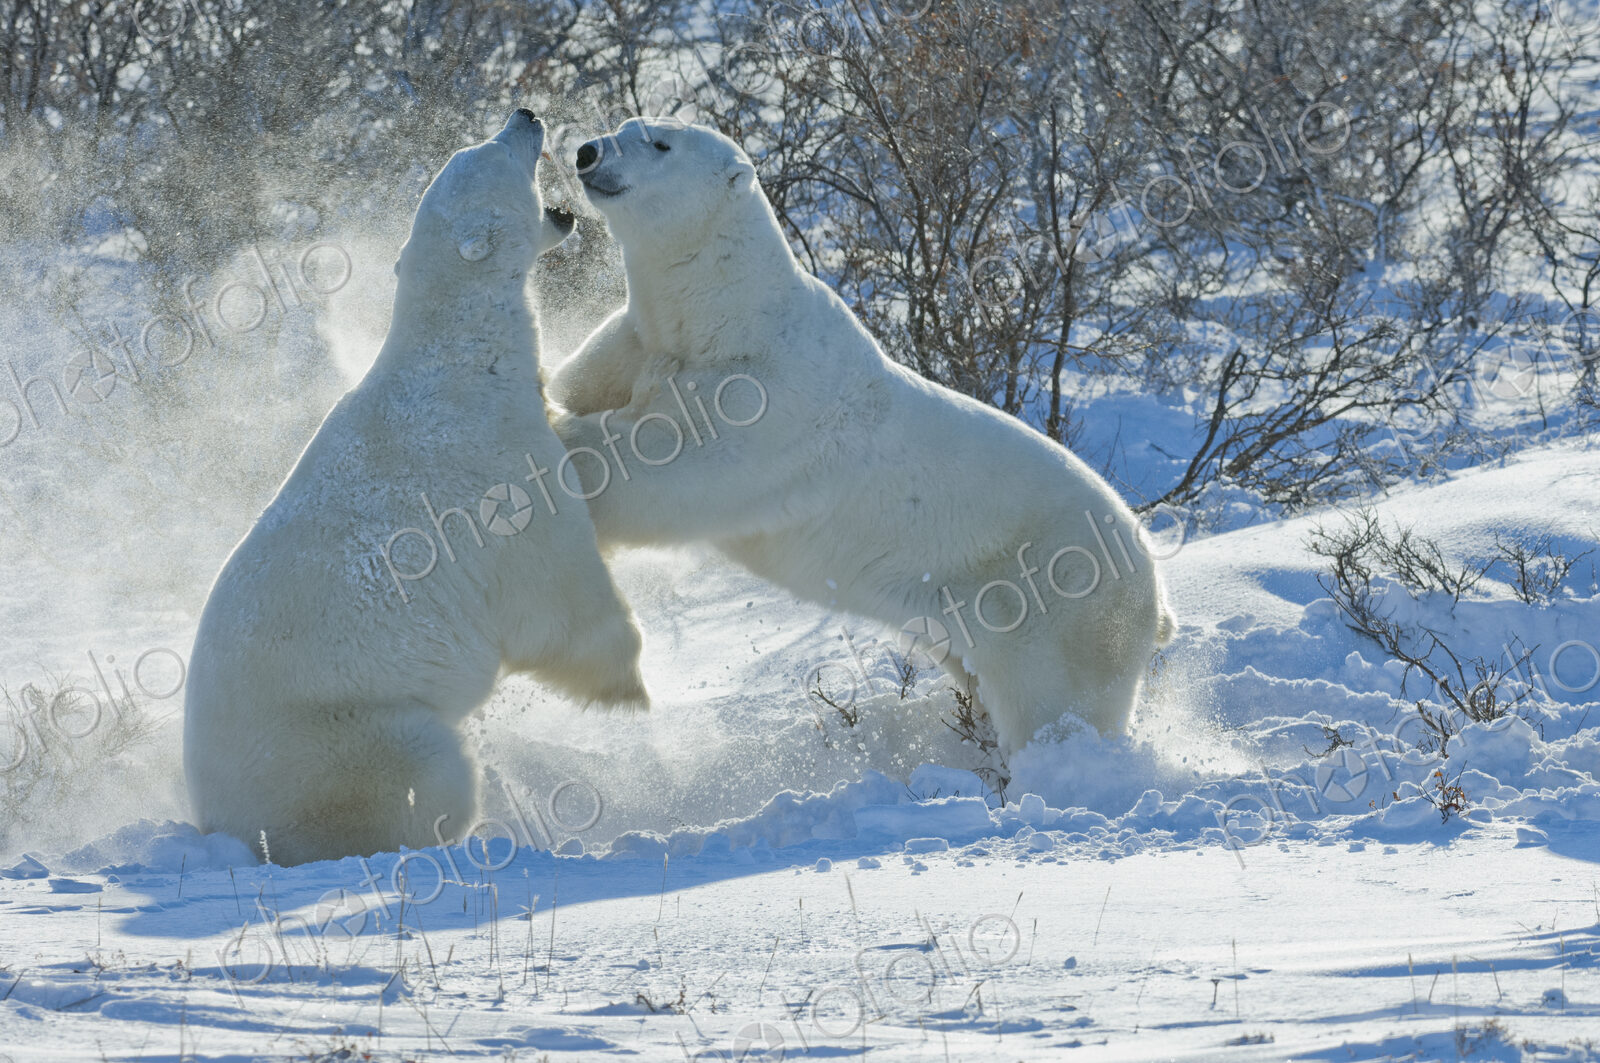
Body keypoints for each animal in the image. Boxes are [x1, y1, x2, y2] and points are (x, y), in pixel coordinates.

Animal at [183, 110, 648, 867]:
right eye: (491, 151)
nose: (525, 114)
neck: (458, 356)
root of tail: (216, 822)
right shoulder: (496, 481)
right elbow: (559, 596)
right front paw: (635, 695)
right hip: (348, 737)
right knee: (427, 772)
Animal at [549, 117, 1175, 761]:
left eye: (660, 144)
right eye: (625, 126)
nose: (587, 151)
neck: (726, 316)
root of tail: (1155, 593)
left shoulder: (767, 401)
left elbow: (666, 470)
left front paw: (562, 442)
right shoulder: (634, 342)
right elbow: (586, 381)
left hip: (1060, 604)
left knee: (1057, 708)